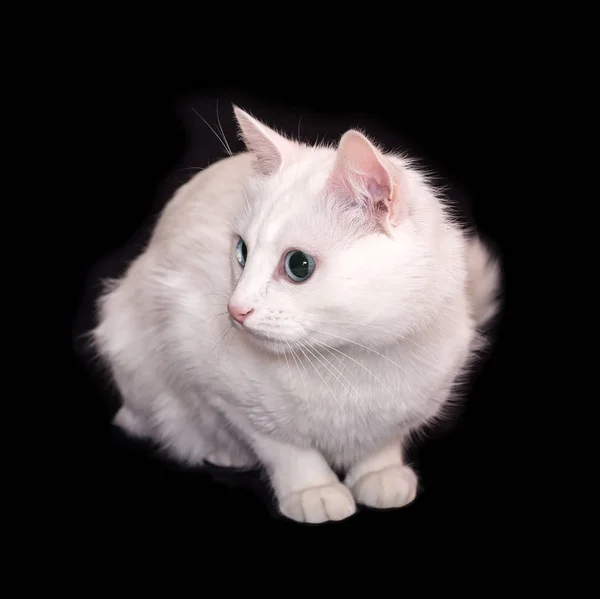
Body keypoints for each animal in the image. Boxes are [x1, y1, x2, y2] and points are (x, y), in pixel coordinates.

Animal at [91, 105, 500, 524]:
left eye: (298, 265)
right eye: (241, 252)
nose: (235, 309)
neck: (347, 362)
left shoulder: (415, 398)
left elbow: (383, 440)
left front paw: (380, 473)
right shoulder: (228, 395)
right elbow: (287, 450)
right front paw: (313, 490)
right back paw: (227, 452)